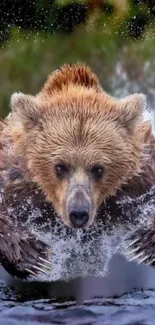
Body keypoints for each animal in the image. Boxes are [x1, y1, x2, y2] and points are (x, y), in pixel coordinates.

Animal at [0, 64, 154, 278]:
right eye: (60, 166)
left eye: (98, 168)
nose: (78, 212)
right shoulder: (16, 180)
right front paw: (32, 256)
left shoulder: (136, 183)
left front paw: (142, 244)